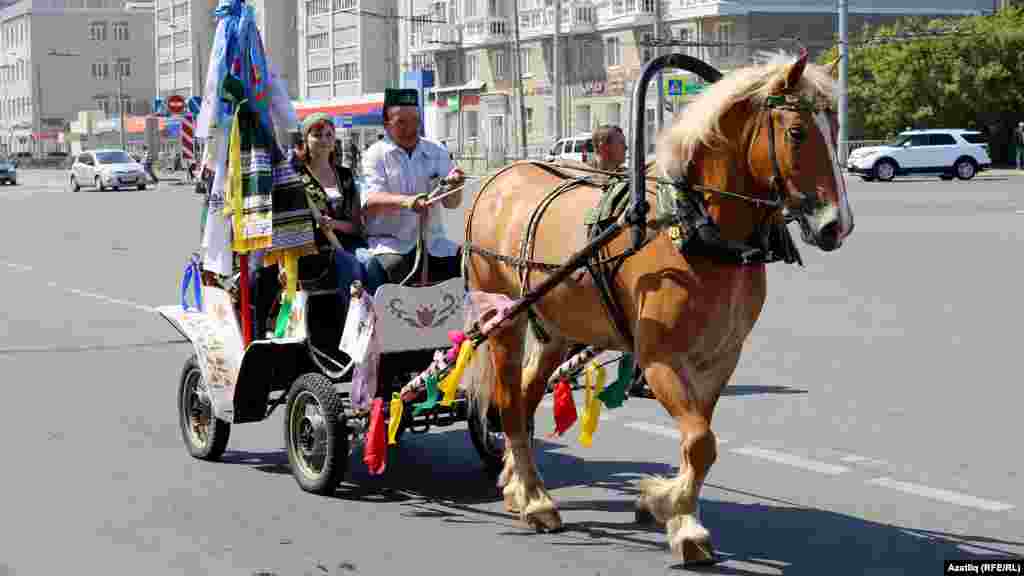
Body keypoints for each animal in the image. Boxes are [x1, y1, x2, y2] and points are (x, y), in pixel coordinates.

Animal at [460, 51, 851, 561]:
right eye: (798, 132)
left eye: (836, 125)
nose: (836, 225)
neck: (690, 228)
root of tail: (496, 180)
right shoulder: (660, 358)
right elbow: (701, 441)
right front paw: (671, 510)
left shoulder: (719, 359)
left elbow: (698, 441)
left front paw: (672, 511)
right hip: (506, 317)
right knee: (507, 403)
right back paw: (536, 500)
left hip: (558, 327)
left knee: (525, 398)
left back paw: (517, 484)